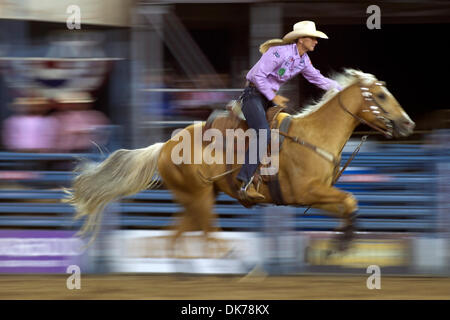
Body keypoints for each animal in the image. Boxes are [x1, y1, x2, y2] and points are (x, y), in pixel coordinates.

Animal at [63, 69, 414, 251]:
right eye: (380, 95)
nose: (408, 123)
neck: (313, 137)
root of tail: (164, 145)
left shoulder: (316, 196)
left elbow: (349, 204)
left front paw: (340, 244)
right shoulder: (308, 192)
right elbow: (351, 200)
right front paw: (341, 246)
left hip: (199, 198)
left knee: (177, 236)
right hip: (199, 198)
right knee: (206, 235)